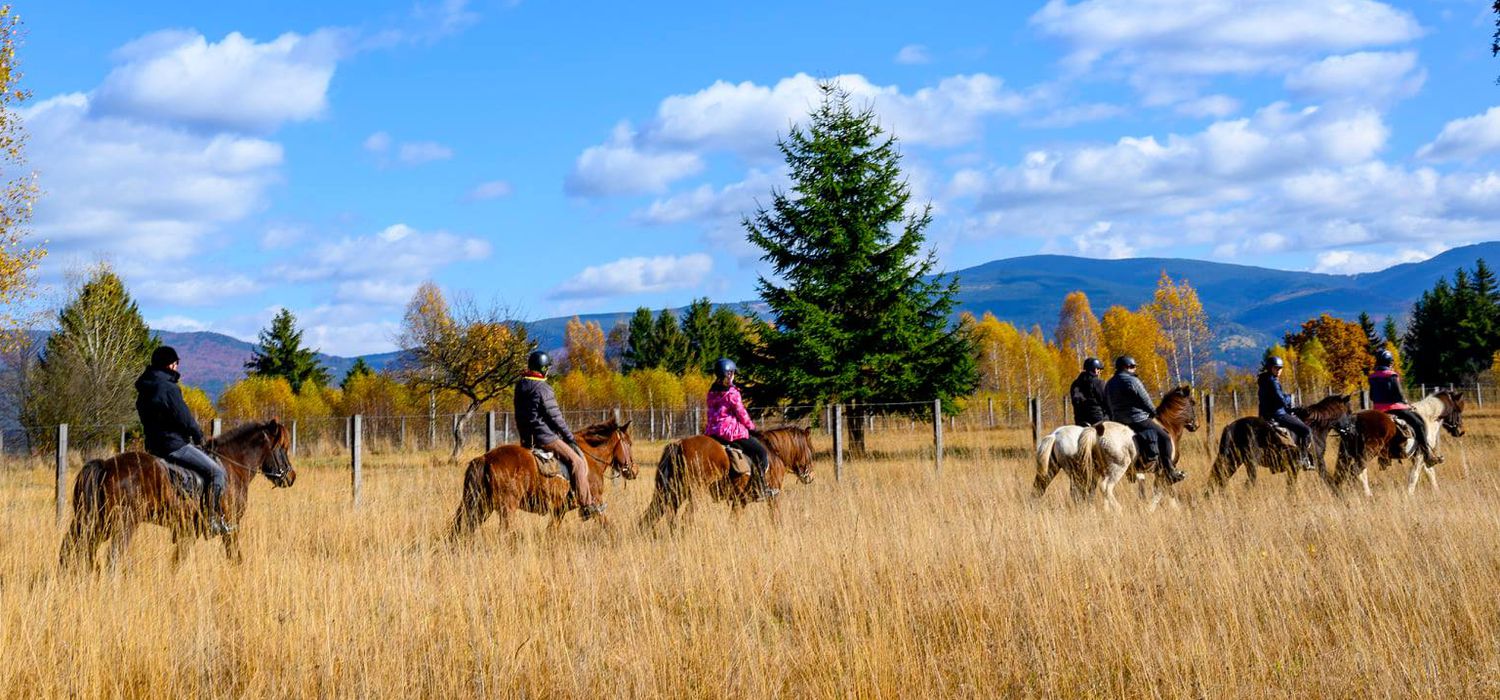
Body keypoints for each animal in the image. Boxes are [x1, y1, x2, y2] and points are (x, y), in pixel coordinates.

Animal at [60, 419, 297, 572]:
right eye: (282, 448)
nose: (291, 476)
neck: (231, 465)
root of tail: (106, 465)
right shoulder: (230, 526)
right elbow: (235, 556)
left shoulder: (188, 532)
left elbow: (177, 562)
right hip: (122, 523)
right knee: (110, 556)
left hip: (94, 521)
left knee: (74, 548)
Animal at [444, 419, 633, 539]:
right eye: (629, 443)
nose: (634, 470)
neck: (589, 458)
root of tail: (485, 458)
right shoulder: (595, 501)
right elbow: (607, 524)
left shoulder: (559, 510)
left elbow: (551, 533)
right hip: (506, 508)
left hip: (480, 505)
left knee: (460, 528)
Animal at [636, 425, 816, 533]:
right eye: (811, 450)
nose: (811, 476)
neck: (774, 453)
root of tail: (679, 444)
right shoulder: (773, 496)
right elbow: (775, 518)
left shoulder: (739, 501)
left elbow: (733, 523)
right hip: (694, 494)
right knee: (685, 519)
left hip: (669, 494)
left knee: (649, 517)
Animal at [1206, 395, 1362, 494]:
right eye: (1349, 412)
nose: (1353, 431)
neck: (1315, 428)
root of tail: (1231, 426)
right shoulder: (1318, 463)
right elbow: (1330, 482)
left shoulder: (1293, 468)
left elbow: (1290, 489)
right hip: (1249, 463)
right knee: (1245, 484)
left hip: (1231, 460)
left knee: (1218, 480)